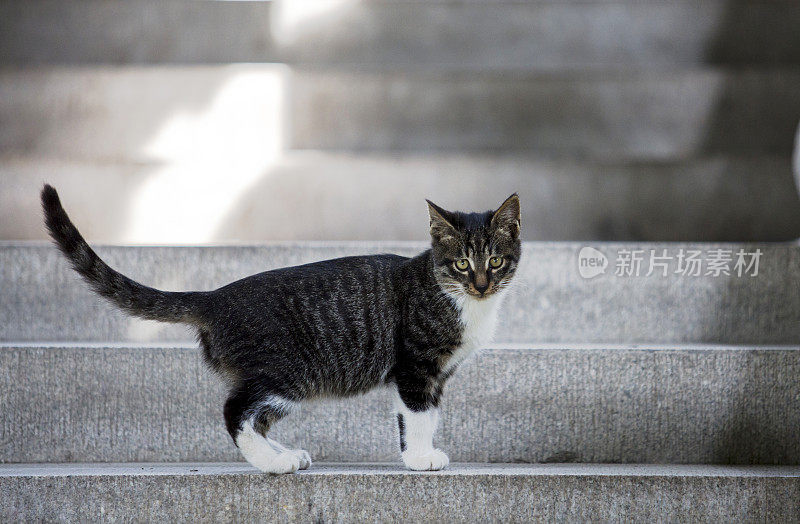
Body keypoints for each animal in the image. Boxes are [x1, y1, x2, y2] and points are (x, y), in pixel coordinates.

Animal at [40, 187, 520, 474]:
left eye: (496, 261)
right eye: (462, 263)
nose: (481, 284)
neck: (462, 300)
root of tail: (215, 297)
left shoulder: (438, 374)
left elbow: (426, 414)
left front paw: (419, 452)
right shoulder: (416, 365)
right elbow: (418, 413)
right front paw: (421, 458)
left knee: (258, 417)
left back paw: (284, 454)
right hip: (288, 370)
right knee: (236, 411)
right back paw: (271, 464)